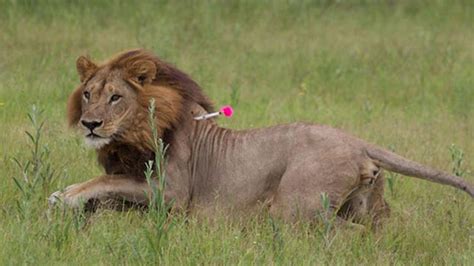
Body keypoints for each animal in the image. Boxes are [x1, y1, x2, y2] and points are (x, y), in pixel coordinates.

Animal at [49, 48, 474, 228]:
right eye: (88, 94)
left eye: (115, 97)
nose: (89, 124)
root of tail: (358, 140)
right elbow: (108, 192)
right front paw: (70, 201)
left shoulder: (172, 193)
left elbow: (105, 180)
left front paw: (65, 197)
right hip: (368, 205)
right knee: (379, 230)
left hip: (294, 208)